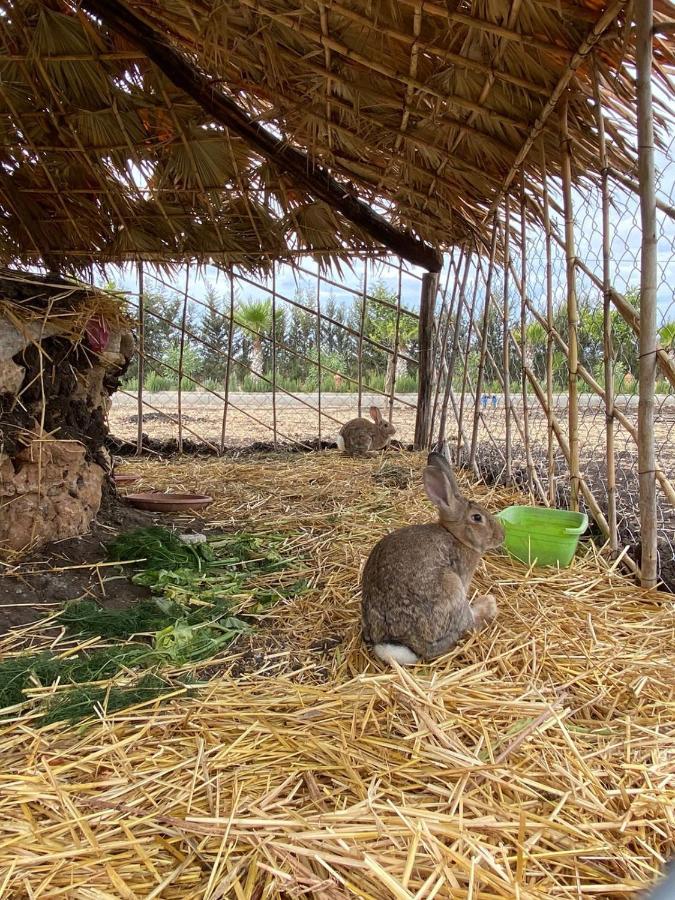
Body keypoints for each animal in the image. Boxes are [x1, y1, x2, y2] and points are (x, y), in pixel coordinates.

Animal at [362, 454, 504, 664]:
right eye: (477, 518)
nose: (501, 536)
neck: (455, 536)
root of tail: (399, 641)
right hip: (452, 586)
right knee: (464, 624)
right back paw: (488, 605)